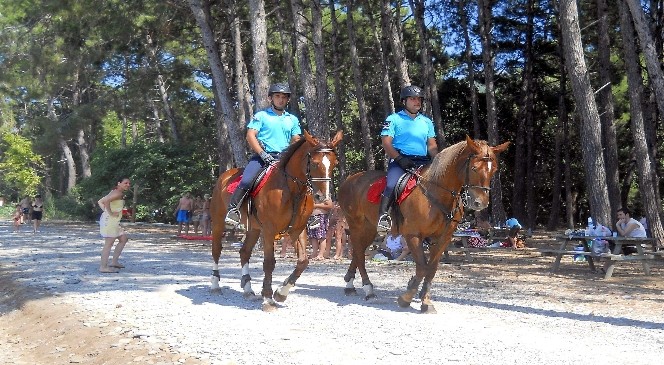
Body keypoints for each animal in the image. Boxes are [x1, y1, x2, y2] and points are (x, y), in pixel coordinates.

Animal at [209, 129, 344, 308]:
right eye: (315, 163)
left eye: (334, 164)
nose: (323, 197)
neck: (291, 190)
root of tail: (225, 175)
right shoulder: (269, 230)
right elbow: (269, 262)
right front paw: (267, 297)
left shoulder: (297, 230)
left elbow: (303, 261)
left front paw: (281, 293)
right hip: (218, 222)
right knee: (217, 250)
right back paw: (215, 285)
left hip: (253, 228)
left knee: (244, 252)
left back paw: (248, 289)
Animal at [338, 135, 508, 312]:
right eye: (474, 168)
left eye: (494, 169)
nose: (480, 203)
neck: (436, 193)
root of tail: (350, 179)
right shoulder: (413, 236)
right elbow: (422, 267)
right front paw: (406, 297)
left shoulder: (443, 238)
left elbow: (431, 269)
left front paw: (425, 300)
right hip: (357, 225)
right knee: (359, 252)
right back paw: (367, 288)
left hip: (370, 228)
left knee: (358, 252)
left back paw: (351, 284)